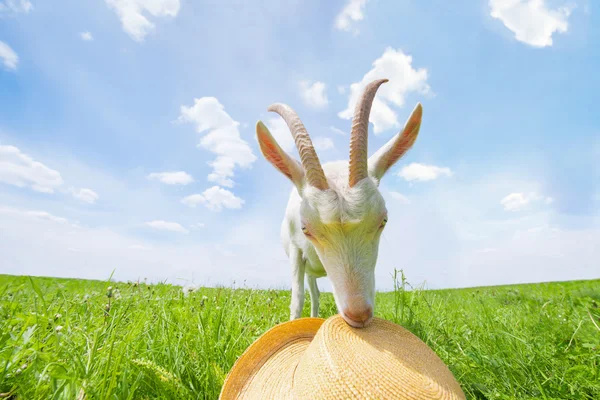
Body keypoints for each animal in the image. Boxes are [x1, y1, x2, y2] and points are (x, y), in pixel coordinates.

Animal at [255, 79, 424, 328]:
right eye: (305, 228)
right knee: (313, 293)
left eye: (383, 220)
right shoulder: (296, 251)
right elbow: (297, 299)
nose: (359, 314)